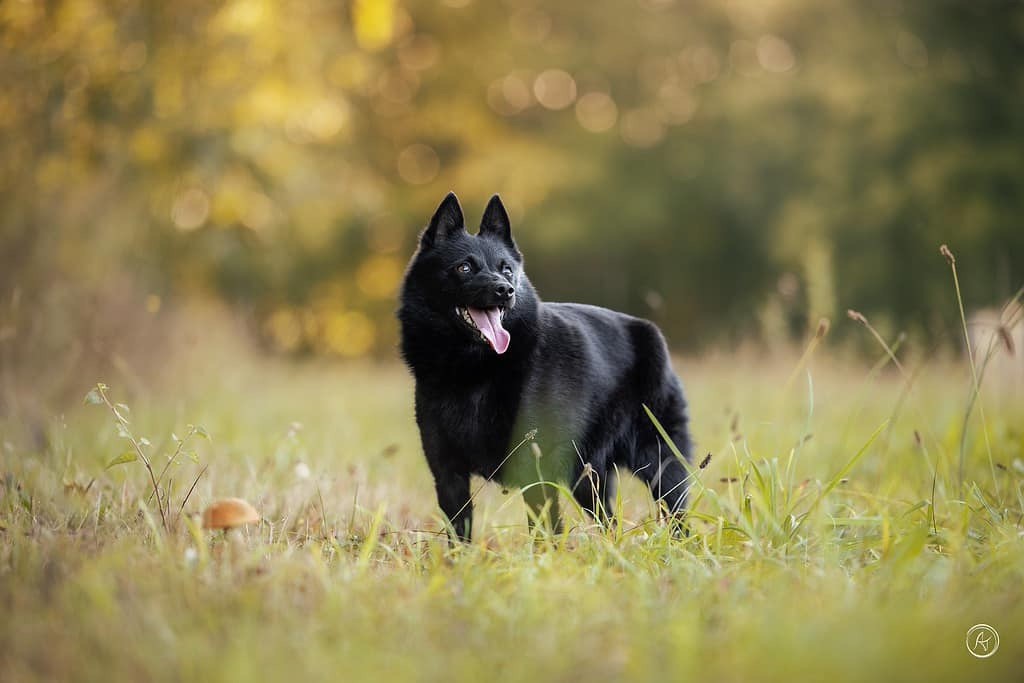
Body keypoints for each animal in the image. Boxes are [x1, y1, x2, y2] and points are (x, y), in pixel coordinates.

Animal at [395, 193, 692, 544]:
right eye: (464, 267)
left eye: (506, 269)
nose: (505, 290)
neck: (475, 372)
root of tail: (650, 332)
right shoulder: (448, 473)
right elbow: (459, 533)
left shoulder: (534, 473)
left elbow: (544, 531)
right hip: (589, 479)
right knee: (608, 520)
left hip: (660, 462)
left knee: (677, 513)